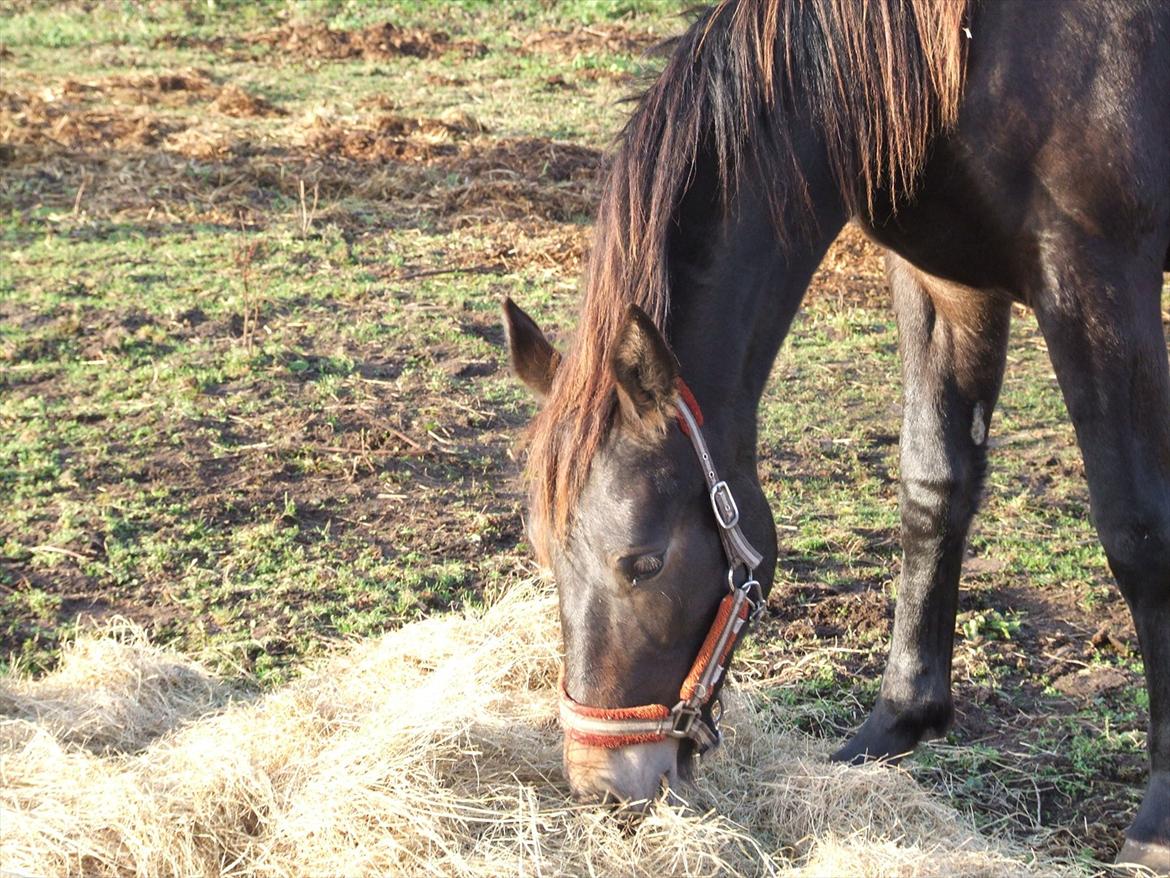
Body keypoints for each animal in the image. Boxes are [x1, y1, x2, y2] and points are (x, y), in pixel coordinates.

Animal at [500, 0, 1170, 866]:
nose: (603, 789)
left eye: (642, 563)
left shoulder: (1099, 281)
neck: (975, 54)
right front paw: (898, 721)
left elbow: (1138, 535)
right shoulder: (945, 282)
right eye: (546, 555)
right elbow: (933, 488)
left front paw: (1157, 821)